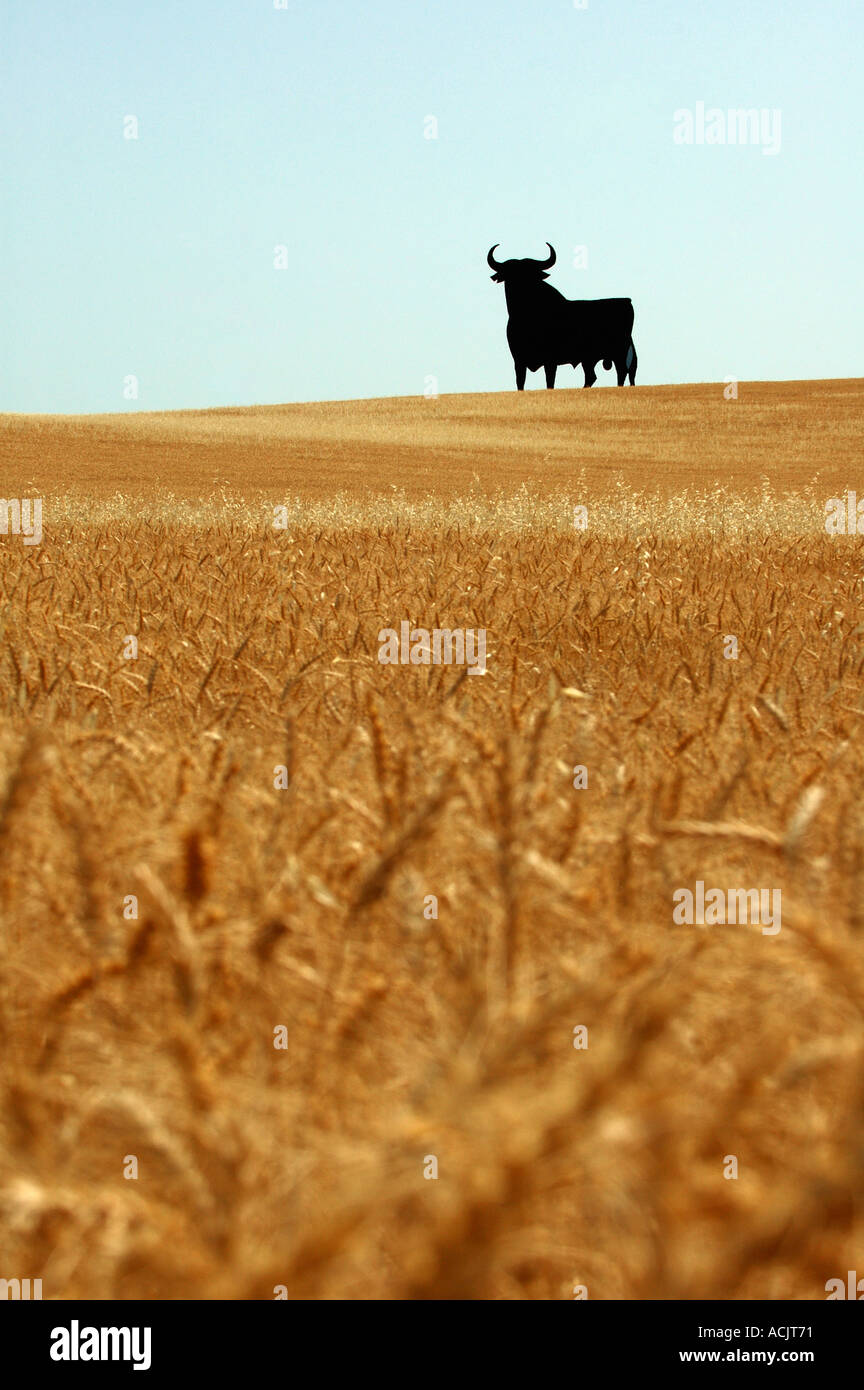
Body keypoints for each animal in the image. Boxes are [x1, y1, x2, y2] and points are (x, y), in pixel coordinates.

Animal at [487, 243, 635, 389]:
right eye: (510, 274)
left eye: (531, 274)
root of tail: (627, 301)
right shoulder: (519, 360)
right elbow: (520, 382)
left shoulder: (550, 360)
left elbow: (550, 381)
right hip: (589, 358)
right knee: (592, 376)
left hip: (619, 352)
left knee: (621, 371)